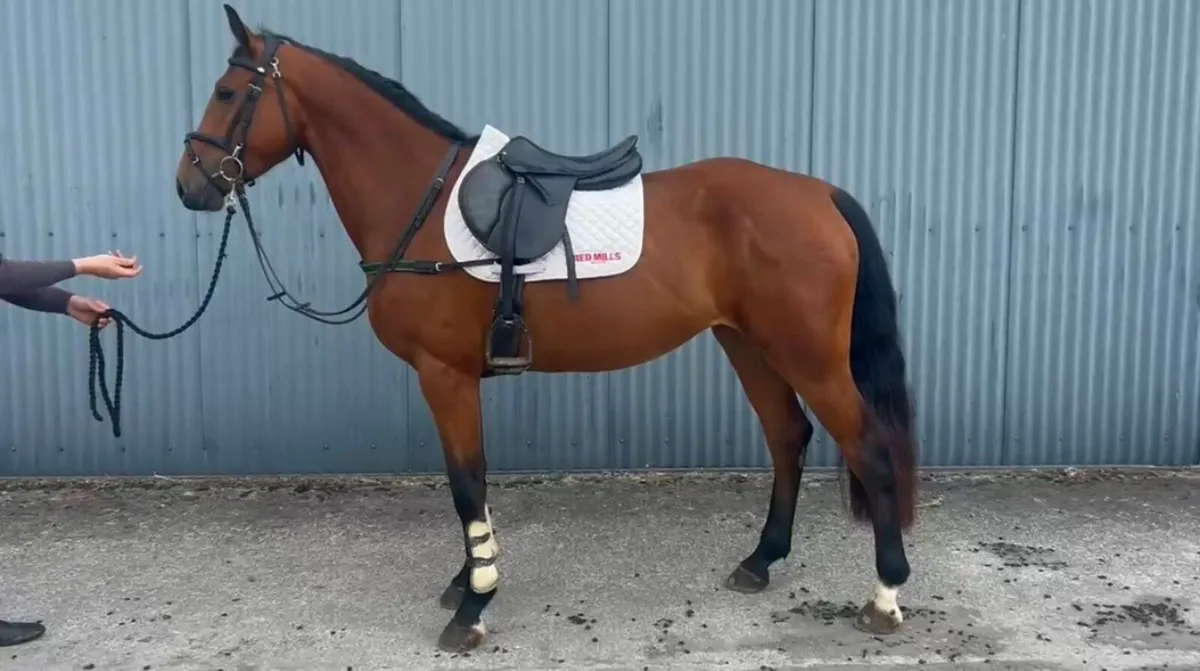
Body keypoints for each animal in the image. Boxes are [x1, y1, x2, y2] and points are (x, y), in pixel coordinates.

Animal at [174, 4, 919, 654]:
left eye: (227, 91)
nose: (190, 185)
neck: (420, 199)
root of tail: (819, 193)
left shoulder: (444, 375)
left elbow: (466, 481)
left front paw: (474, 605)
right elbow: (471, 484)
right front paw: (468, 579)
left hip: (808, 355)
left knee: (869, 448)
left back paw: (885, 595)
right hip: (749, 343)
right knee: (788, 435)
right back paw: (761, 560)